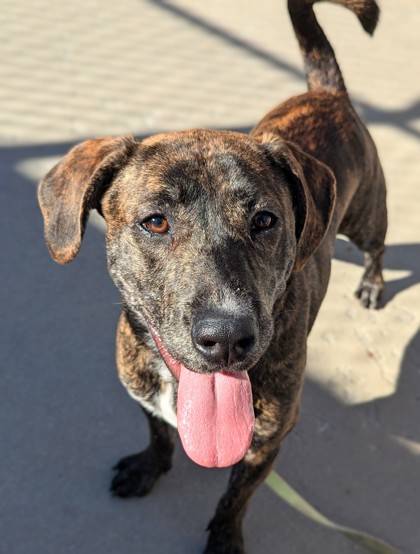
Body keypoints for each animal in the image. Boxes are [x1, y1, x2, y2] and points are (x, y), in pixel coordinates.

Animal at [38, 0, 388, 548]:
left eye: (264, 220)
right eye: (155, 221)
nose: (226, 338)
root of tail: (326, 93)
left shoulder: (265, 443)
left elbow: (235, 497)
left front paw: (223, 538)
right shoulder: (146, 398)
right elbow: (159, 434)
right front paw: (149, 467)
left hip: (368, 215)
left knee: (377, 246)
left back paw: (372, 283)